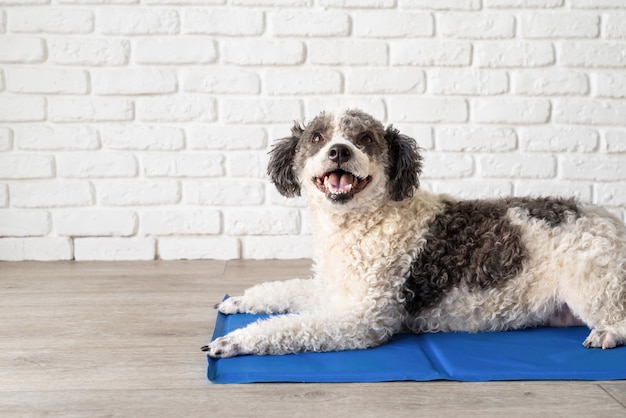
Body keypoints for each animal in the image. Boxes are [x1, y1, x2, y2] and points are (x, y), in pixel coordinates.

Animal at [200, 108, 624, 360]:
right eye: (317, 138)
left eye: (365, 138)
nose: (339, 150)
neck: (362, 225)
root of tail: (609, 220)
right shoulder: (332, 291)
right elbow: (281, 291)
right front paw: (239, 301)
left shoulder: (363, 318)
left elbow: (290, 327)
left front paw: (235, 340)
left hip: (593, 285)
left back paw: (606, 334)